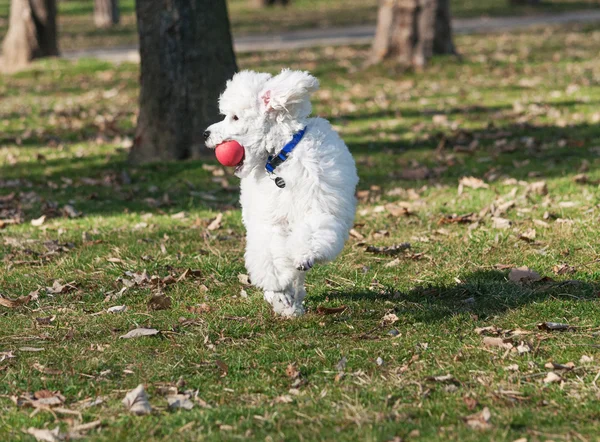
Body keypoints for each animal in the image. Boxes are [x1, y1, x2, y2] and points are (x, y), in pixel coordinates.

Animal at [204, 69, 358, 316]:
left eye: (235, 118)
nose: (205, 133)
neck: (281, 158)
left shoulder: (317, 205)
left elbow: (312, 233)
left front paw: (304, 256)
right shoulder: (270, 220)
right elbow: (270, 255)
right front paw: (277, 288)